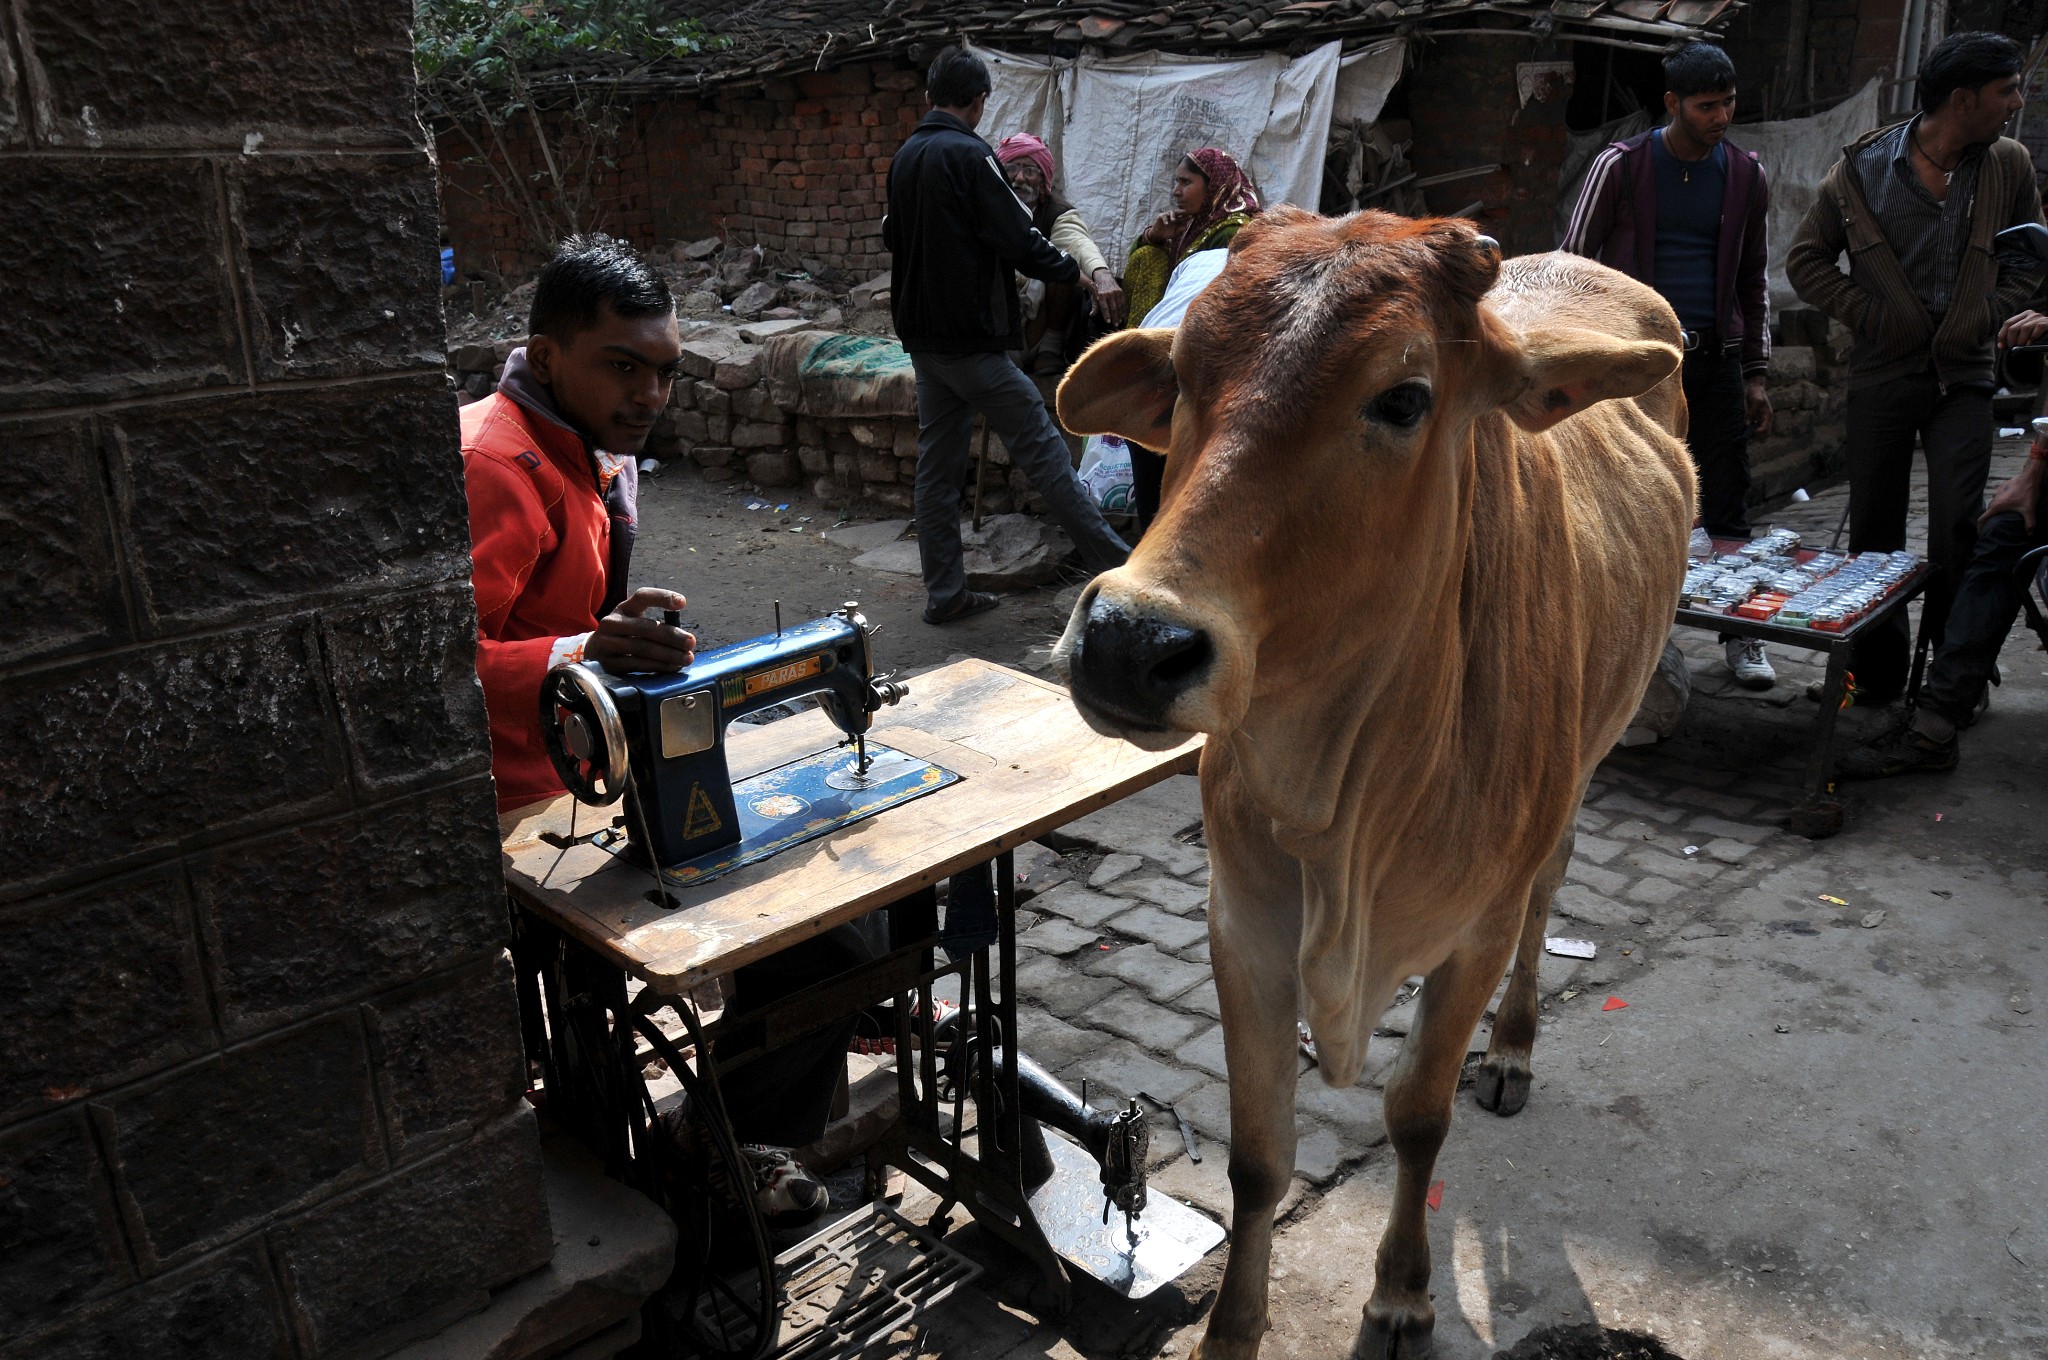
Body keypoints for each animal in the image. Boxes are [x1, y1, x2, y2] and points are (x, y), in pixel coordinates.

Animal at [1048, 206, 1687, 1351]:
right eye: (1182, 372)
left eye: (1403, 398)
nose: (1129, 640)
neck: (1340, 799)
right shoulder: (1242, 924)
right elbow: (1257, 1159)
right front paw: (1231, 1329)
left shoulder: (1470, 935)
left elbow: (1416, 1117)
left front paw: (1398, 1293)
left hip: (1583, 770)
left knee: (1548, 889)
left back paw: (1511, 1051)